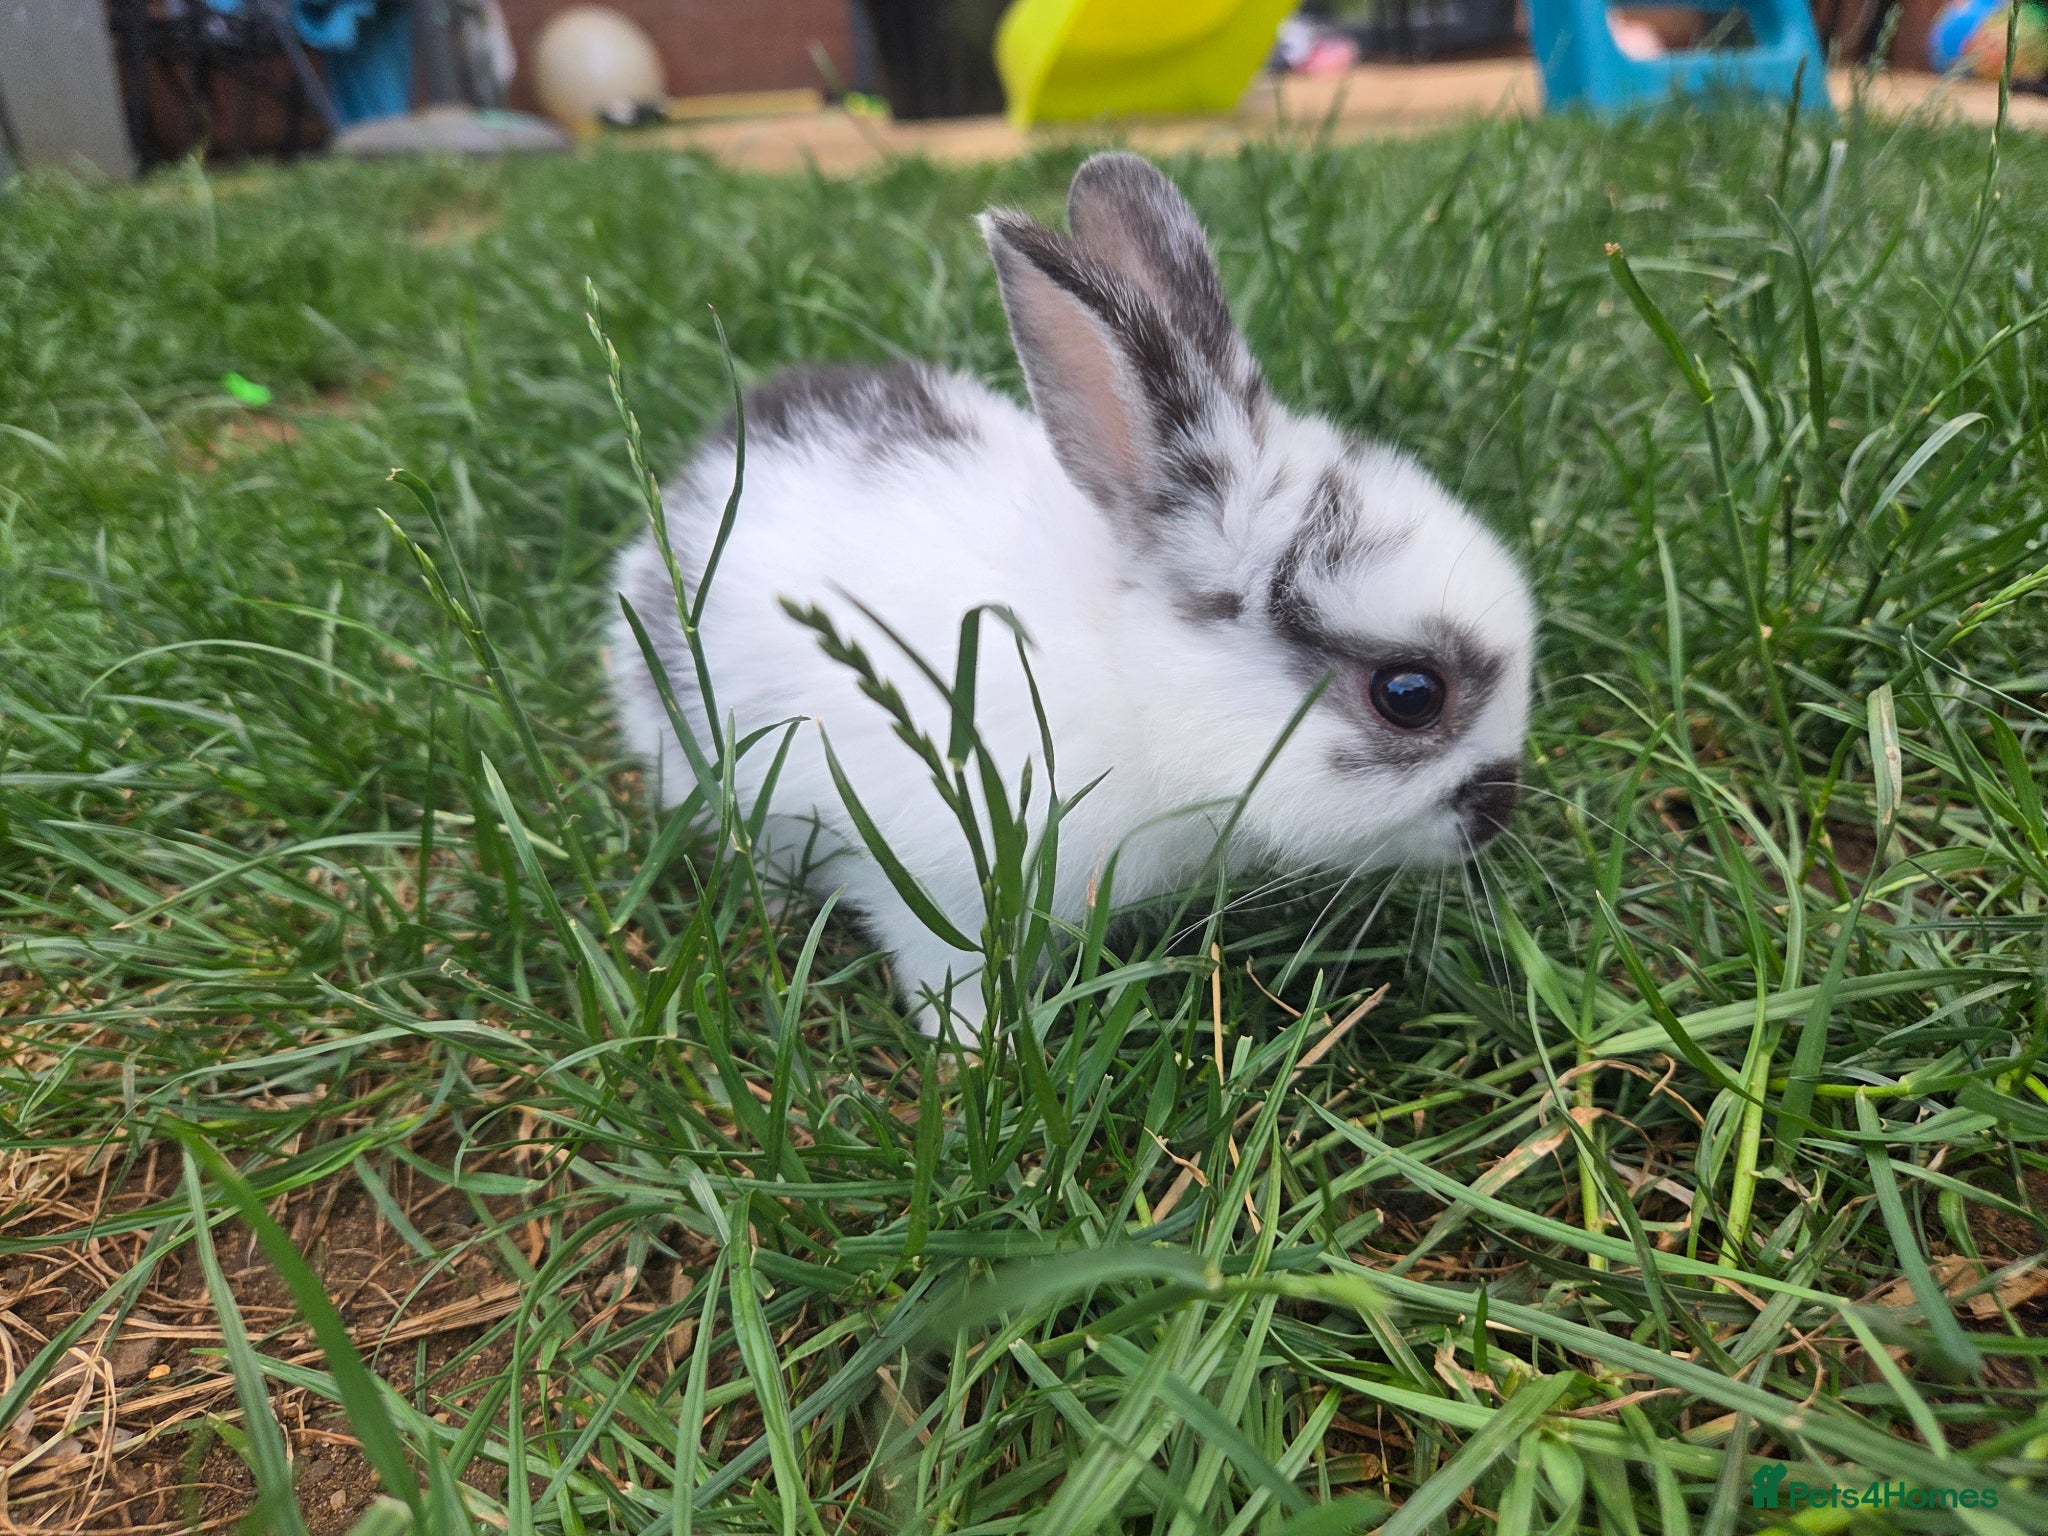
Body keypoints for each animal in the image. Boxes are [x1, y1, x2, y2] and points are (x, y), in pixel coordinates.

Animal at [608, 152, 1535, 1039]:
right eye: (1409, 695)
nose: (1501, 811)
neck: (1132, 677)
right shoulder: (939, 881)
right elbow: (948, 972)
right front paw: (974, 1046)